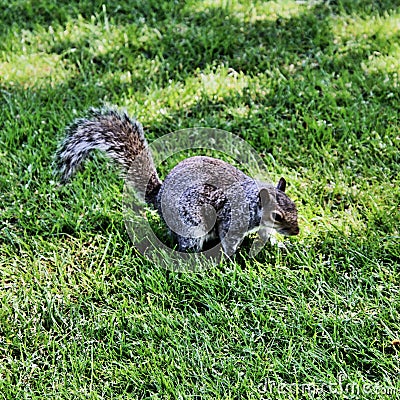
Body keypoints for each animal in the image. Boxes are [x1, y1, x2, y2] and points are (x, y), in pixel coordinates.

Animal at [55, 107, 300, 256]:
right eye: (277, 216)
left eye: (295, 208)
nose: (297, 231)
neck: (252, 201)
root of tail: (158, 197)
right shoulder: (232, 218)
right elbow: (228, 240)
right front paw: (233, 260)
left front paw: (280, 244)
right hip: (191, 223)